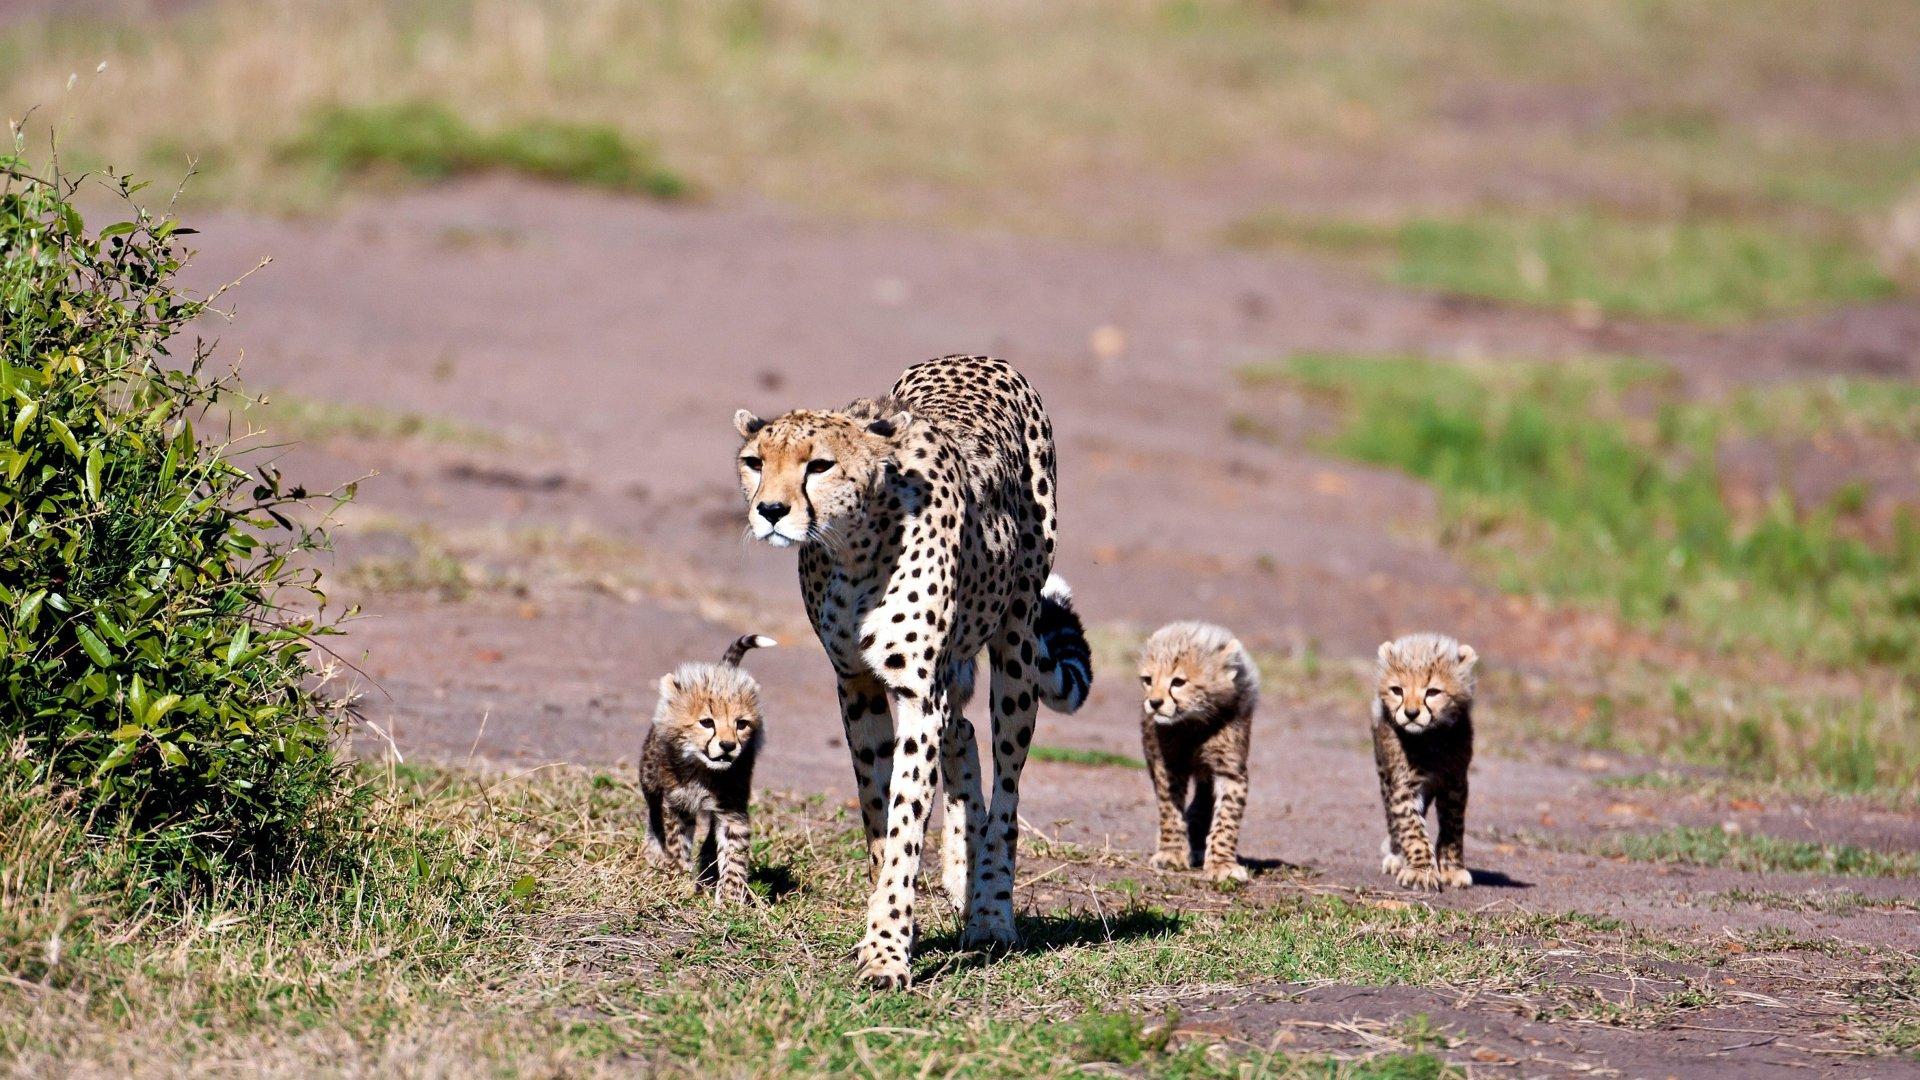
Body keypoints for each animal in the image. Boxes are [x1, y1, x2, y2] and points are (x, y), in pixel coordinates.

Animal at [640, 633, 776, 904]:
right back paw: (656, 855)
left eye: (741, 724)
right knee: (653, 815)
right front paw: (680, 880)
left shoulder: (733, 810)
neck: (703, 770)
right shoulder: (676, 805)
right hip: (648, 778)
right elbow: (676, 842)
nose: (728, 746)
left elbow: (734, 852)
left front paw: (731, 898)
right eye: (706, 722)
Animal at [732, 354, 1091, 989]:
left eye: (819, 464)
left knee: (1007, 787)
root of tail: (978, 357)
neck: (854, 548)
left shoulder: (917, 693)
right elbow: (879, 814)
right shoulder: (856, 685)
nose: (770, 511)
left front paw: (886, 952)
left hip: (1016, 643)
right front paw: (895, 923)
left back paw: (990, 911)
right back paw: (961, 875)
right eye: (755, 462)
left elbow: (904, 821)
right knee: (963, 733)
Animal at [1137, 621, 1258, 883]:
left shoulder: (1230, 769)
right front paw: (1171, 852)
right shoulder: (1168, 765)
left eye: (1178, 682)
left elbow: (1227, 818)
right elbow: (1170, 811)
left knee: (1203, 801)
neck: (1194, 723)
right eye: (1148, 680)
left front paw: (1222, 863)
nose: (1154, 703)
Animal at [1371, 632, 1477, 892]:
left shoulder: (1455, 783)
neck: (1430, 738)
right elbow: (1411, 829)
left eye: (1433, 692)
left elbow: (1453, 827)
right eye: (1397, 690)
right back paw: (1396, 856)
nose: (1411, 713)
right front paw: (1420, 871)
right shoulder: (1403, 786)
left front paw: (1452, 869)